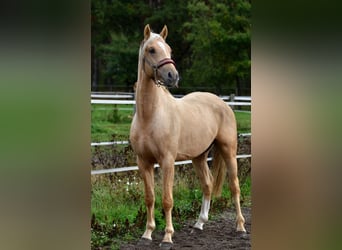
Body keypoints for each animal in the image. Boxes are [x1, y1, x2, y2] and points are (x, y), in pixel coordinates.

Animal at [129, 24, 246, 249]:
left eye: (169, 49)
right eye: (151, 50)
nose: (172, 76)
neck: (150, 115)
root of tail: (223, 103)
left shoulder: (167, 161)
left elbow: (167, 199)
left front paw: (167, 237)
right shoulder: (143, 162)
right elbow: (150, 198)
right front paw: (147, 233)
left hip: (228, 150)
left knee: (234, 186)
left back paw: (241, 227)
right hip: (199, 157)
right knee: (208, 184)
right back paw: (199, 223)